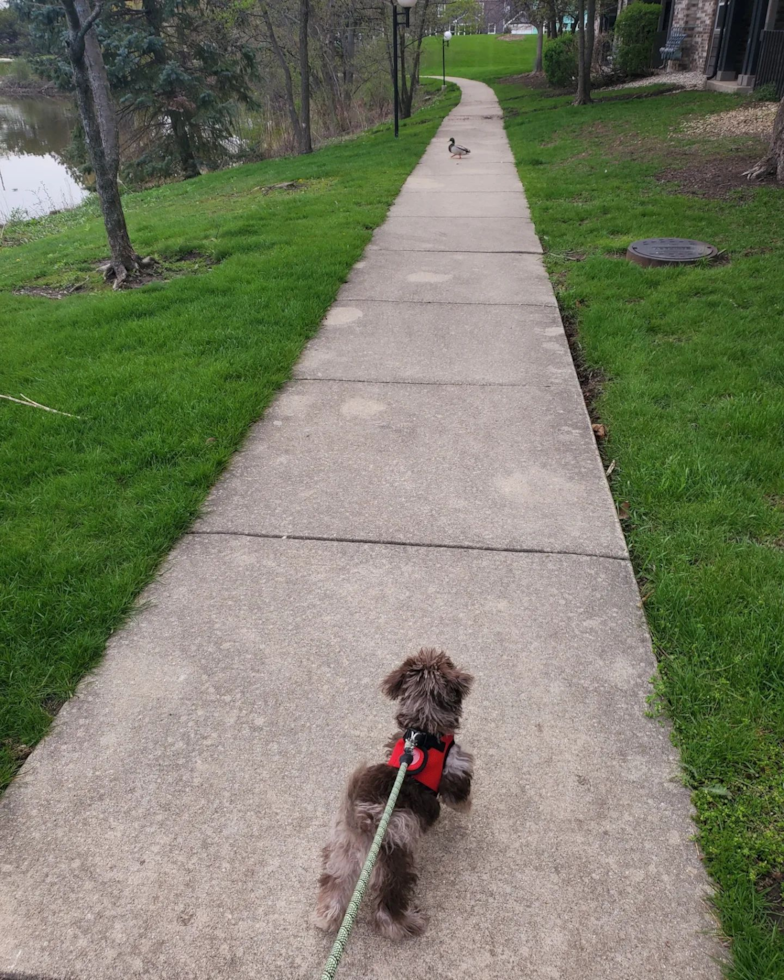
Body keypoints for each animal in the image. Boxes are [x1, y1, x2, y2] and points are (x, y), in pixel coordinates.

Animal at [312, 648, 472, 936]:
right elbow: (460, 792)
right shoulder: (456, 765)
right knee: (387, 907)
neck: (422, 729)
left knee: (334, 887)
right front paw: (466, 806)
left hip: (340, 856)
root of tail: (360, 823)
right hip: (394, 862)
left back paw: (326, 918)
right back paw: (406, 924)